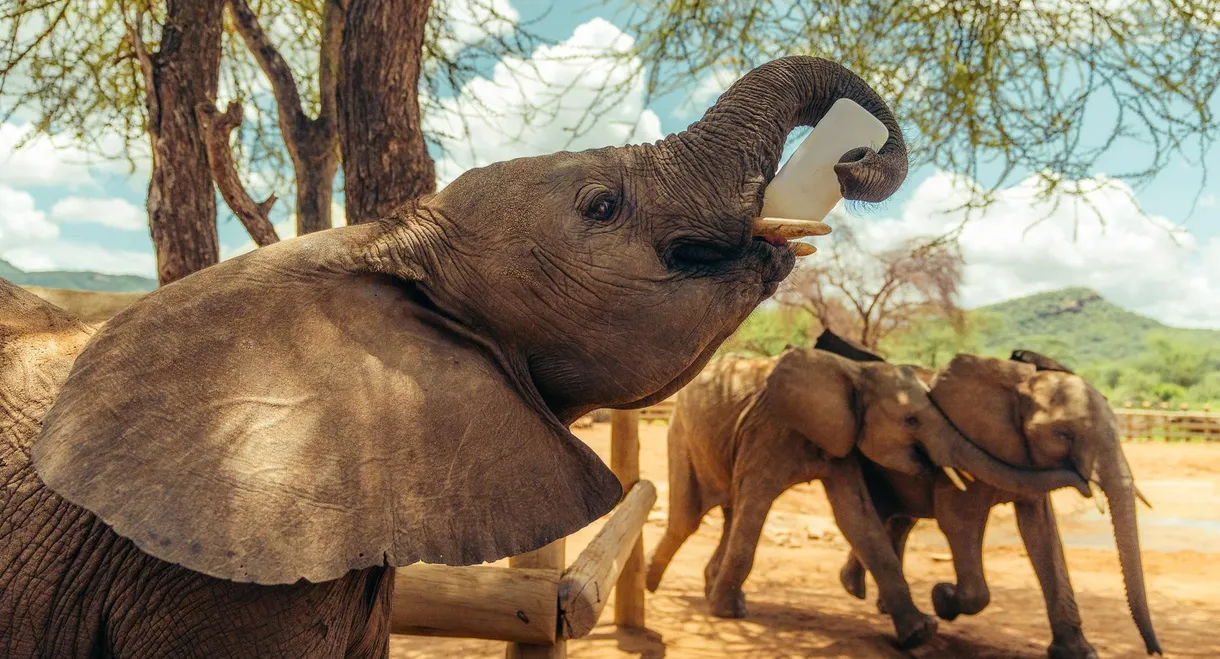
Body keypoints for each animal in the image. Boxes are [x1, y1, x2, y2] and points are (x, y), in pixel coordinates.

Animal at [643, 344, 1089, 648]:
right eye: (911, 419)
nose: (1084, 479)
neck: (855, 372)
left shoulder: (841, 437)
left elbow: (856, 516)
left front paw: (920, 632)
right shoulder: (772, 428)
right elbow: (760, 503)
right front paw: (729, 614)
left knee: (728, 512)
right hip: (679, 433)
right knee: (689, 518)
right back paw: (652, 585)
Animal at [832, 345, 1162, 658]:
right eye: (1064, 434)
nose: (1154, 651)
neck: (1020, 385)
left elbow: (1042, 532)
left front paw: (1078, 653)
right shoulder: (970, 444)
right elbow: (958, 521)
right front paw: (942, 597)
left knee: (897, 518)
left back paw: (867, 596)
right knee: (882, 512)